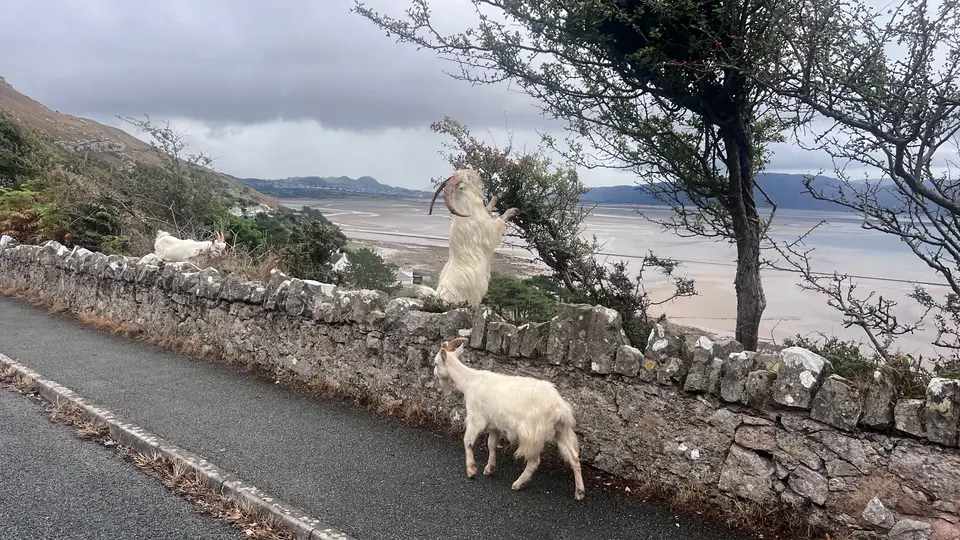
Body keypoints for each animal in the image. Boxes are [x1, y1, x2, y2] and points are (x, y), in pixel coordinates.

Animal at [401, 168, 518, 305]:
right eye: (467, 177)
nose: (477, 173)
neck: (469, 212)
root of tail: (438, 297)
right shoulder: (489, 230)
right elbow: (500, 220)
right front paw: (511, 211)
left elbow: (489, 207)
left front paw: (499, 194)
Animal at [433, 337, 586, 501]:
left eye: (436, 363)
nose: (434, 373)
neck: (470, 381)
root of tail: (559, 406)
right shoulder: (494, 425)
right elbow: (491, 445)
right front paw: (489, 468)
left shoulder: (476, 418)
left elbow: (467, 441)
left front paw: (471, 470)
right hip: (561, 430)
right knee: (574, 457)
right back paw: (580, 492)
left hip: (532, 434)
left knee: (534, 461)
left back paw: (518, 483)